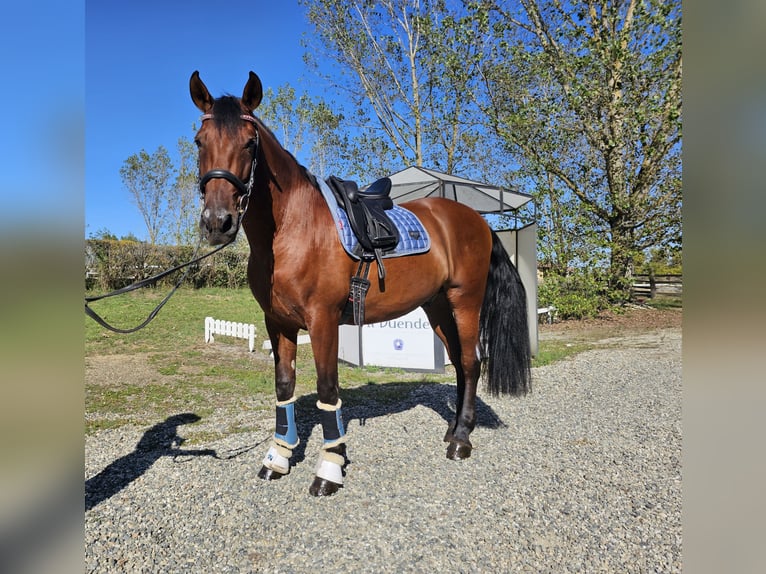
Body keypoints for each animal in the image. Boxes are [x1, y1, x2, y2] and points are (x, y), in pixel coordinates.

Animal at [189, 70, 532, 498]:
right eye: (199, 142)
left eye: (250, 143)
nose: (218, 223)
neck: (293, 229)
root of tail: (478, 221)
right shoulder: (277, 322)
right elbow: (284, 387)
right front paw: (278, 458)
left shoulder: (322, 321)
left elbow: (327, 390)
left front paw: (329, 468)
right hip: (437, 306)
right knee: (457, 363)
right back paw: (453, 428)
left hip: (464, 301)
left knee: (471, 362)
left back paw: (461, 439)